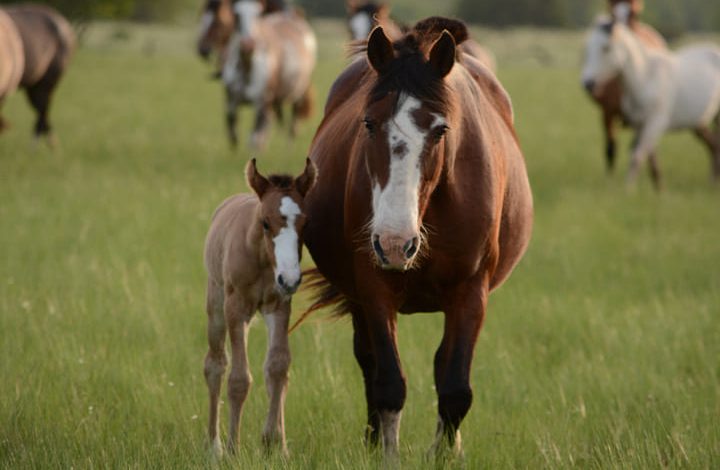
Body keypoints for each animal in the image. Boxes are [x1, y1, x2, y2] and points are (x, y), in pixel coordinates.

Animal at [202, 157, 316, 456]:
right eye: (266, 222)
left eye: (306, 222)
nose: (290, 278)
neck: (263, 260)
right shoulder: (236, 309)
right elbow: (239, 378)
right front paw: (233, 449)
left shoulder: (279, 306)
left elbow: (277, 368)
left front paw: (275, 444)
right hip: (216, 305)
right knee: (215, 364)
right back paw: (214, 445)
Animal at [296, 17, 532, 458]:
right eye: (368, 123)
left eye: (440, 130)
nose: (394, 243)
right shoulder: (373, 288)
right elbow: (389, 381)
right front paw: (384, 452)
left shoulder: (471, 292)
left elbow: (455, 387)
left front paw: (444, 455)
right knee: (368, 361)